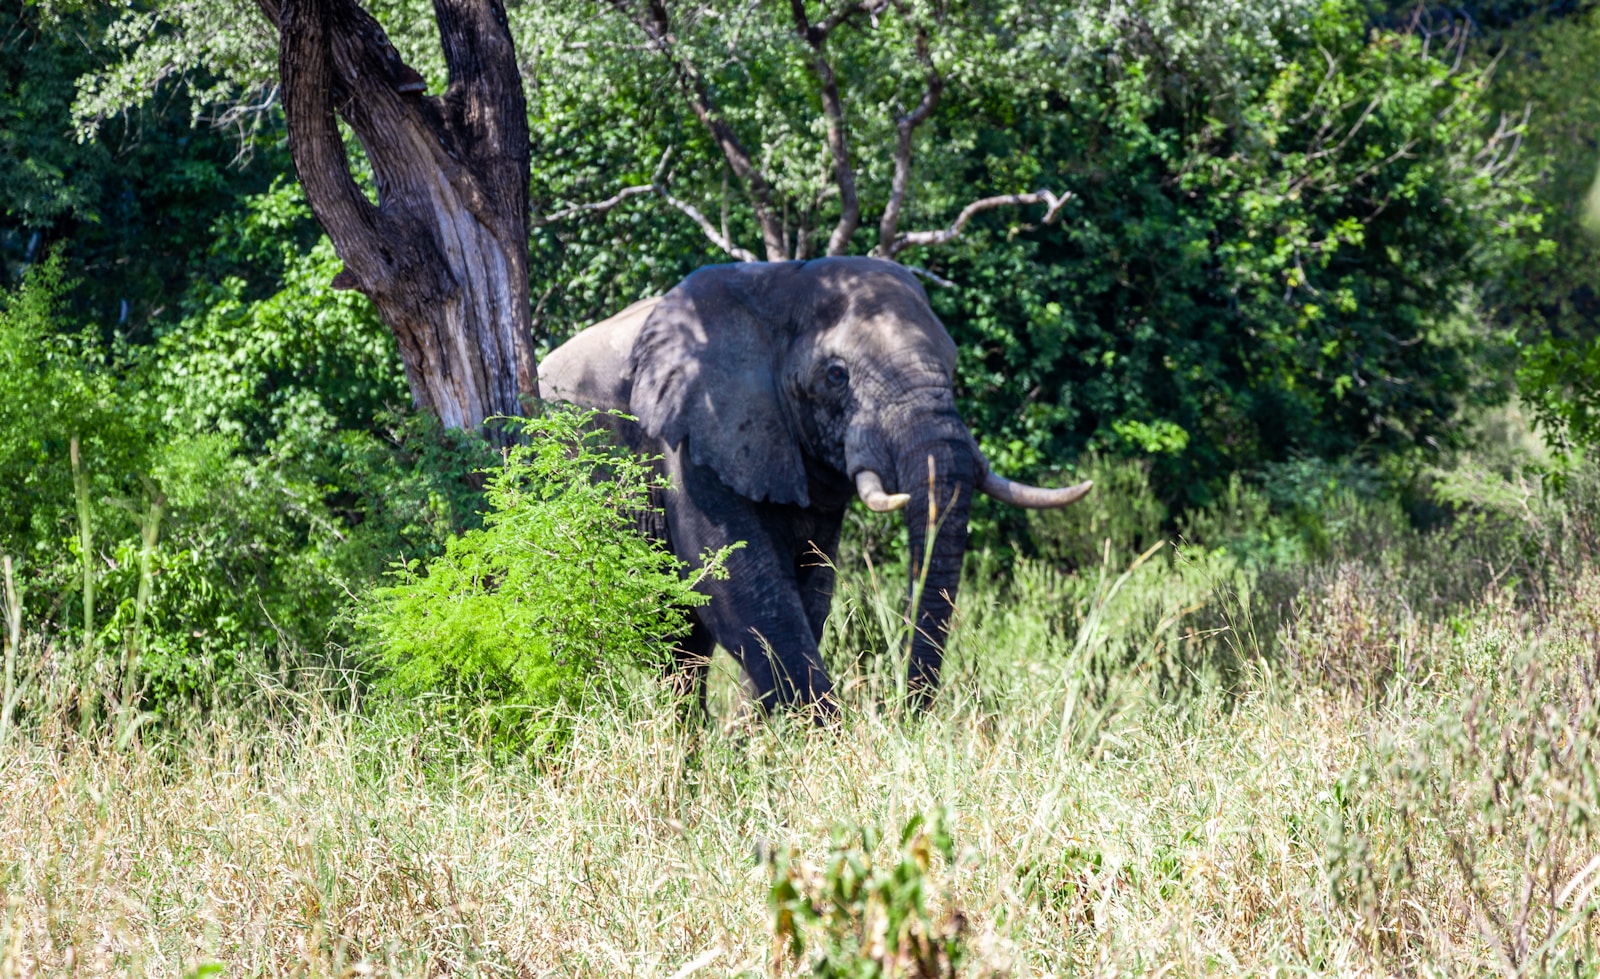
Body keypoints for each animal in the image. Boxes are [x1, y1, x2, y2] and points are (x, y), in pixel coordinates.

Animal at [537, 256, 1092, 713]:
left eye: (953, 367)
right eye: (835, 375)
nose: (902, 716)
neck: (780, 283)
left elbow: (810, 591)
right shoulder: (691, 437)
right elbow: (743, 590)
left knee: (682, 651)